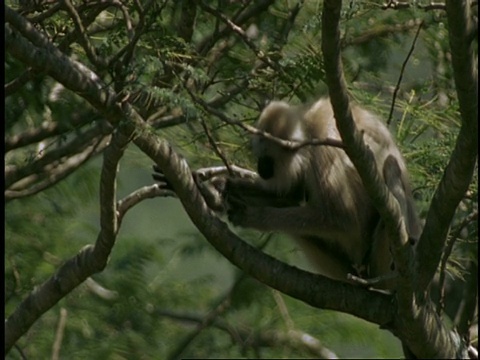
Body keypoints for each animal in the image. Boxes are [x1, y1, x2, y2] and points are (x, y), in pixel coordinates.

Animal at [225, 97, 420, 290]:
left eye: (266, 162)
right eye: (259, 159)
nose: (261, 169)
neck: (307, 124)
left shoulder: (323, 146)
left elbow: (342, 218)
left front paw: (253, 216)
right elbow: (291, 195)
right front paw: (229, 187)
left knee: (390, 167)